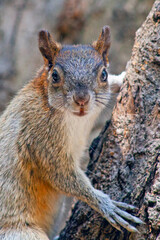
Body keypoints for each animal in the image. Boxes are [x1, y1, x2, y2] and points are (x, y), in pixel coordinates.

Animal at [0, 25, 142, 239]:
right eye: (55, 76)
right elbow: (61, 174)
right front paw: (106, 205)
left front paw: (123, 76)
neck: (77, 119)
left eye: (103, 74)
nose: (82, 100)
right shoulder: (38, 136)